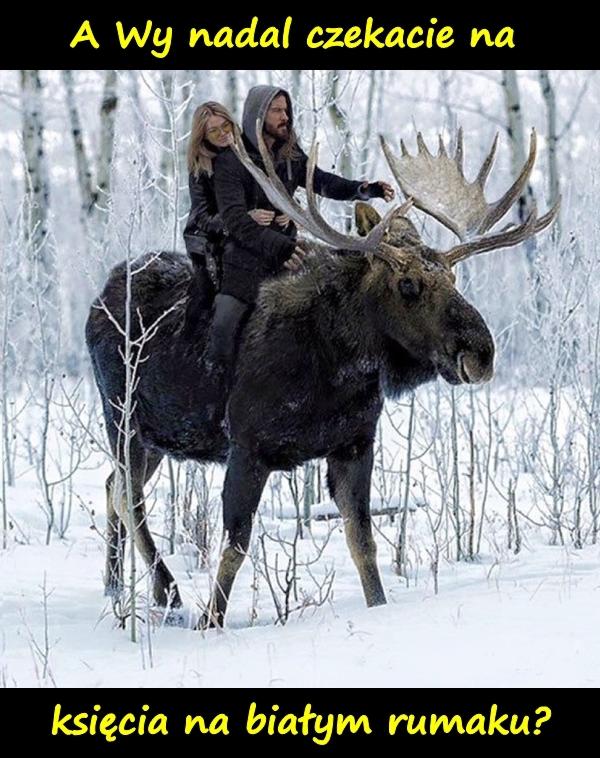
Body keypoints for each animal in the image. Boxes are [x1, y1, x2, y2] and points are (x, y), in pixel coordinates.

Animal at [86, 127, 560, 628]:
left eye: (453, 276)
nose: (481, 352)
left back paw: (115, 586)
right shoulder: (248, 446)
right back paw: (167, 592)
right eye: (408, 285)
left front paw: (379, 605)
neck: (336, 370)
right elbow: (235, 546)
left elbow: (363, 541)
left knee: (114, 486)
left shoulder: (354, 444)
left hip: (160, 437)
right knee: (128, 496)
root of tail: (98, 298)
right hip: (122, 418)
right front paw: (210, 622)